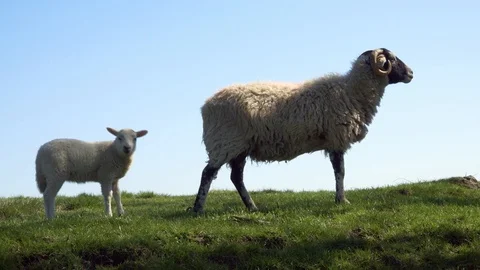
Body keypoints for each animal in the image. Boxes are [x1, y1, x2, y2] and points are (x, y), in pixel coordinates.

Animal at [190, 48, 412, 213]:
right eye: (392, 59)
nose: (411, 73)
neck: (352, 92)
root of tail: (206, 105)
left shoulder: (334, 140)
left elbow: (339, 171)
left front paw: (340, 199)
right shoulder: (337, 138)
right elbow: (340, 171)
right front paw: (341, 200)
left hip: (239, 148)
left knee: (236, 177)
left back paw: (252, 207)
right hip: (224, 143)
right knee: (208, 173)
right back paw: (198, 208)